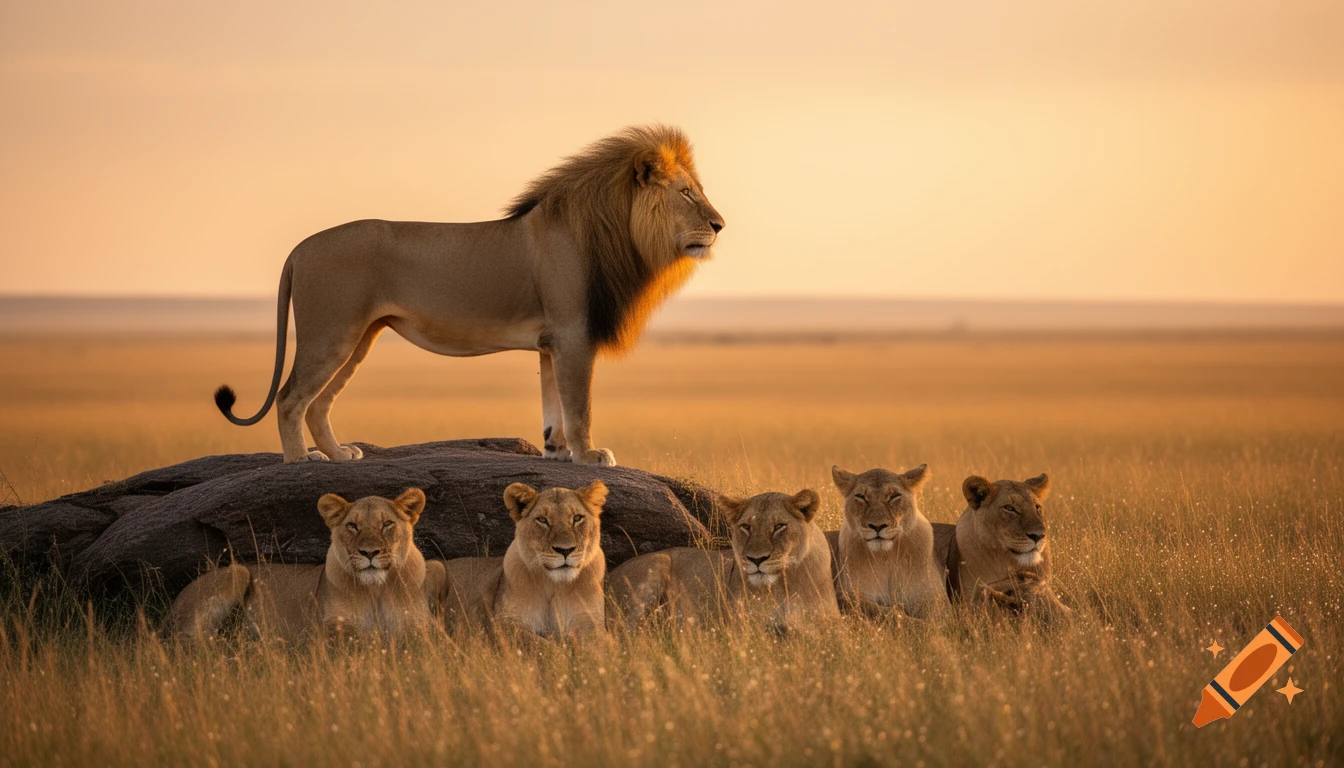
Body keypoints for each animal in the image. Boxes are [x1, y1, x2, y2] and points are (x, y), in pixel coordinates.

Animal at [165, 488, 443, 640]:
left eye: (387, 524)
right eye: (352, 526)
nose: (370, 552)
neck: (376, 589)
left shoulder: (418, 623)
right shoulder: (323, 629)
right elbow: (357, 638)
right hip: (238, 571)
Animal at [213, 126, 724, 465]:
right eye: (686, 193)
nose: (719, 225)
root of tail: (300, 248)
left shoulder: (552, 342)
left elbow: (553, 404)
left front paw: (556, 452)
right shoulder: (573, 333)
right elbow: (580, 405)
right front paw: (589, 456)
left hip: (359, 338)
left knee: (318, 403)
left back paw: (339, 455)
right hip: (332, 333)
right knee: (289, 399)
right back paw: (300, 463)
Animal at [430, 481, 608, 640]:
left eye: (577, 518)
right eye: (542, 520)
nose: (565, 550)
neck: (554, 586)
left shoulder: (591, 623)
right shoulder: (503, 624)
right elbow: (538, 643)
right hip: (436, 566)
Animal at [607, 489, 839, 630]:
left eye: (779, 526)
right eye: (746, 527)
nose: (756, 559)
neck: (784, 584)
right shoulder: (737, 625)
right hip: (658, 563)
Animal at [826, 464, 946, 619]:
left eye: (894, 496)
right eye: (861, 496)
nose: (877, 526)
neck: (886, 556)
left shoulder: (930, 593)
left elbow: (937, 616)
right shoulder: (850, 594)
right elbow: (885, 613)